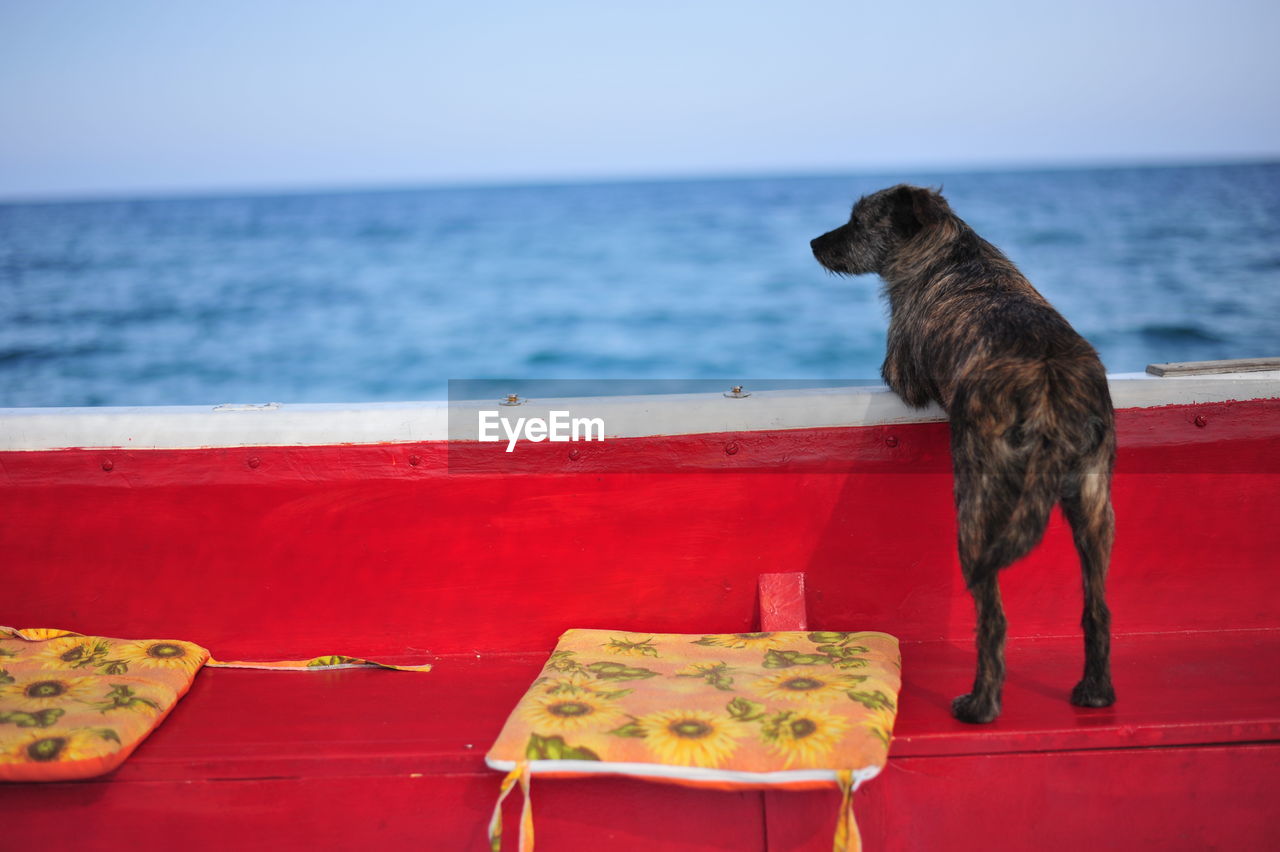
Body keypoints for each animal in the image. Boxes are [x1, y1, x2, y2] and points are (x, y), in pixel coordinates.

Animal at [814, 182, 1116, 721]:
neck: (949, 252)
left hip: (976, 506)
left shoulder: (900, 372)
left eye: (858, 221)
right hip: (1095, 505)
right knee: (1097, 608)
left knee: (992, 619)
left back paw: (979, 703)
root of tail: (1048, 388)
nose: (813, 244)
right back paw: (1095, 691)